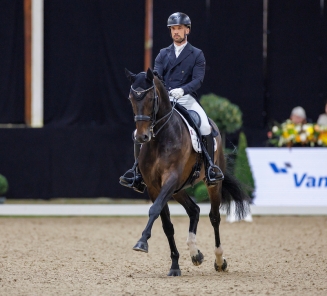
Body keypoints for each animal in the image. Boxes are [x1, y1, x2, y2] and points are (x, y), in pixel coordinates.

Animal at [124, 68, 250, 276]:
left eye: (151, 98)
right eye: (131, 98)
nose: (142, 137)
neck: (160, 138)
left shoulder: (171, 178)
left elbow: (154, 210)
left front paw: (141, 243)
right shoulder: (154, 186)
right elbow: (166, 224)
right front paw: (175, 265)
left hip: (211, 183)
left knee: (214, 217)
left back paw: (219, 261)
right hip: (178, 189)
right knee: (194, 210)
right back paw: (195, 254)